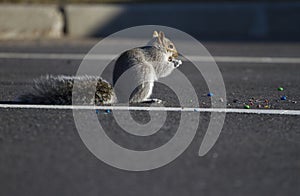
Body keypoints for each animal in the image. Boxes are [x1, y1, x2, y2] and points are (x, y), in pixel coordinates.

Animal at [13, 30, 183, 105]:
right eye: (170, 46)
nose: (178, 54)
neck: (158, 49)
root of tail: (120, 95)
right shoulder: (156, 58)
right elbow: (162, 69)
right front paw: (175, 63)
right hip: (145, 79)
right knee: (134, 100)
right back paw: (149, 100)